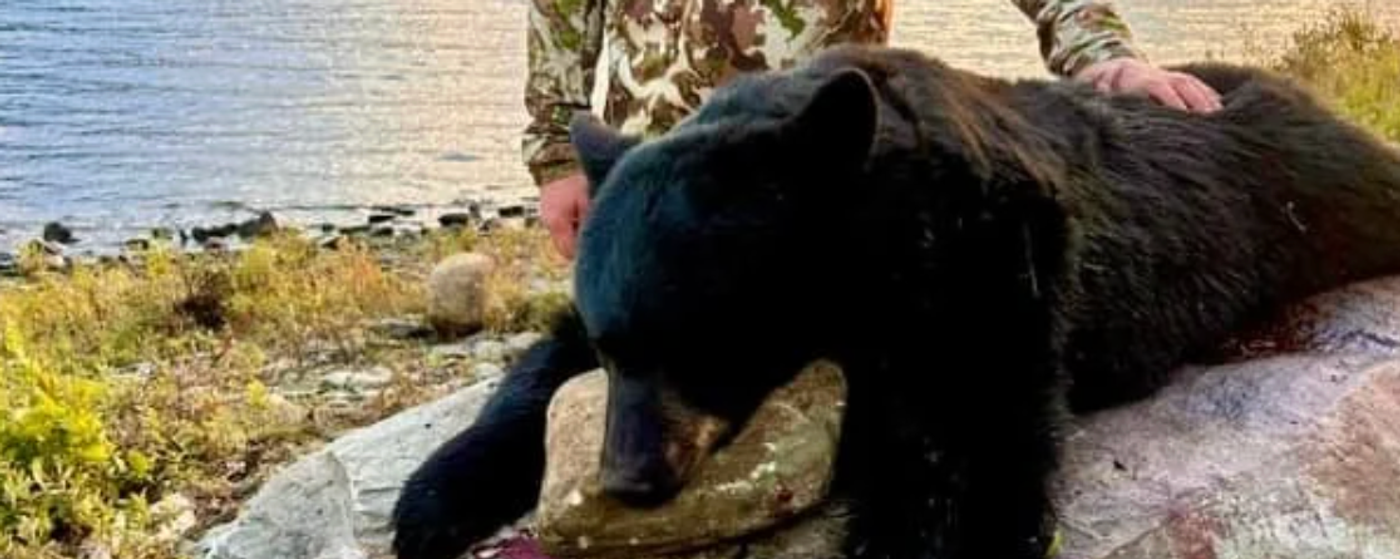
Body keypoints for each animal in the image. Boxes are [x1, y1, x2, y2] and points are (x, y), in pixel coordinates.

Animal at [390, 43, 1400, 559]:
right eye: (615, 348)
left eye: (707, 339)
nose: (630, 479)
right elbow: (537, 364)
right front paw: (434, 496)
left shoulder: (987, 270)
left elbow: (970, 443)